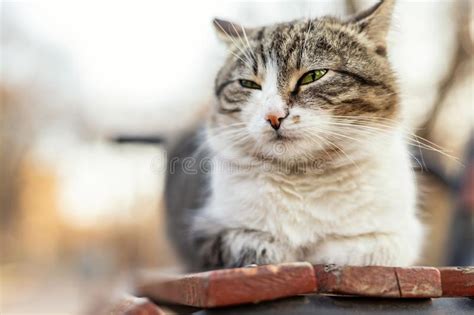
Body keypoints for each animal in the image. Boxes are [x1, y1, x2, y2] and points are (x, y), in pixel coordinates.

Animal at [165, 0, 424, 272]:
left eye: (314, 75)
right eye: (248, 84)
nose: (273, 116)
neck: (303, 177)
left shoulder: (400, 233)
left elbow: (364, 248)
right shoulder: (203, 233)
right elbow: (249, 243)